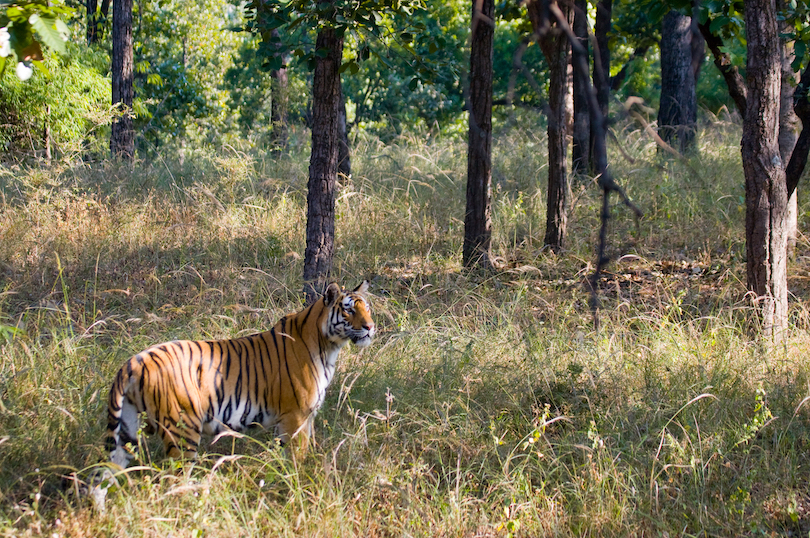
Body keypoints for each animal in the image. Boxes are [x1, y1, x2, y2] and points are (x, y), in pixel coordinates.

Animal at [103, 280, 376, 464]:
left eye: (367, 308)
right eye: (349, 310)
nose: (371, 327)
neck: (328, 346)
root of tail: (135, 361)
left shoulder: (306, 417)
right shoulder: (296, 416)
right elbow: (297, 456)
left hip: (126, 429)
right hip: (182, 430)